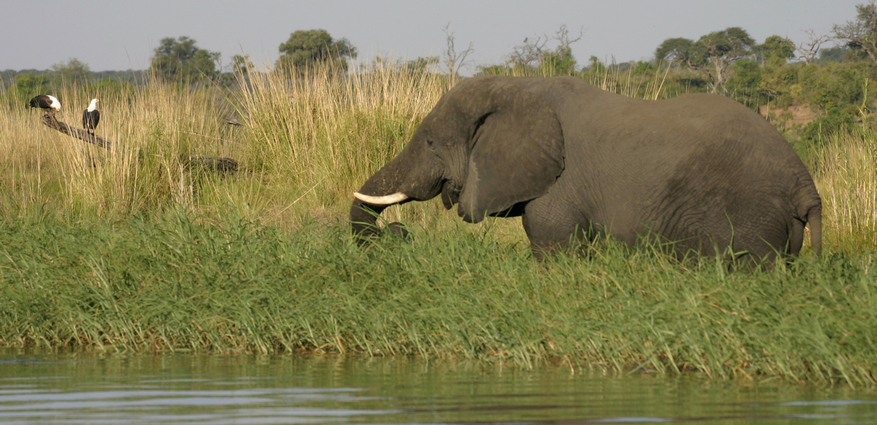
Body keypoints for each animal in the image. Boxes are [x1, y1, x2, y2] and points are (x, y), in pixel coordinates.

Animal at [350, 75, 820, 262]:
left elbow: (551, 241)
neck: (519, 85)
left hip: (752, 216)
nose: (397, 232)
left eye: (430, 142)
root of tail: (806, 187)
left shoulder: (559, 187)